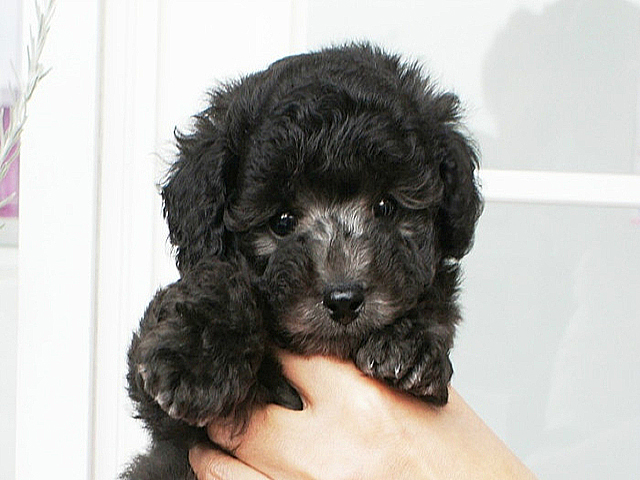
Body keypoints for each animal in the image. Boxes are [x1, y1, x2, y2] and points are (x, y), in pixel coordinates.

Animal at [122, 43, 482, 479]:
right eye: (282, 221)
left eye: (385, 207)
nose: (343, 299)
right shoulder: (168, 418)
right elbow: (221, 281)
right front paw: (197, 360)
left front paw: (412, 346)